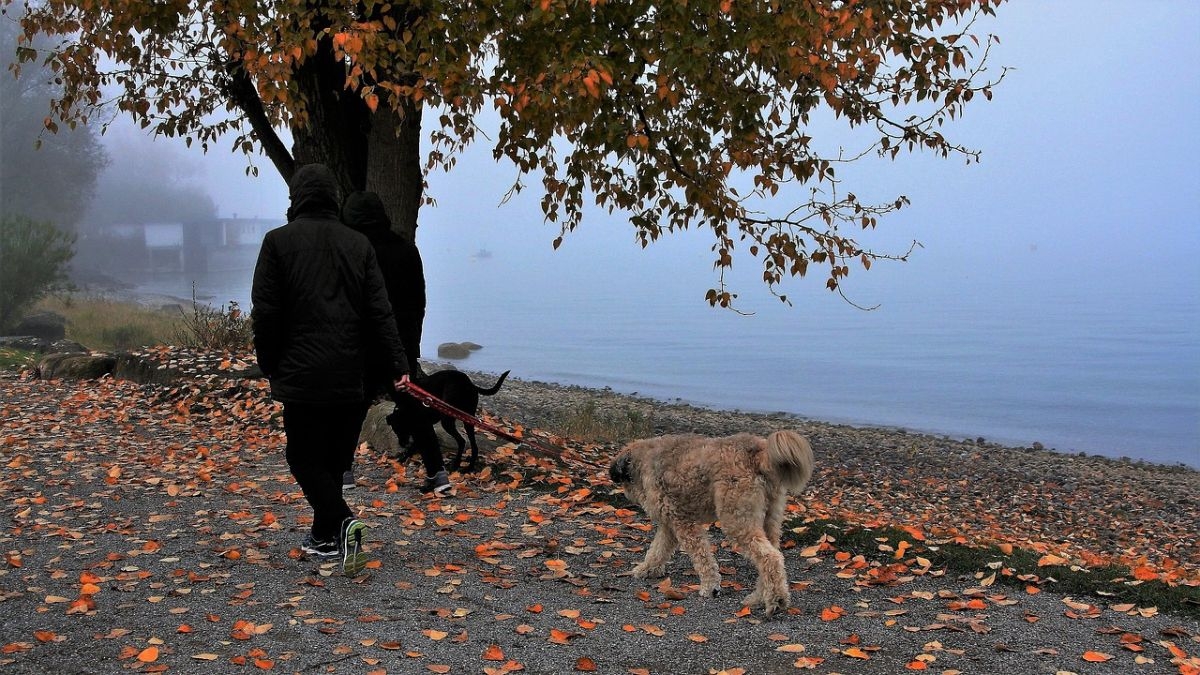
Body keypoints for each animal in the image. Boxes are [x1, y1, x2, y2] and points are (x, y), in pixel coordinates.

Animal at [609, 429, 816, 614]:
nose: (627, 496)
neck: (644, 459)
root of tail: (758, 452)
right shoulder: (669, 526)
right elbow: (657, 550)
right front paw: (647, 569)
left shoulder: (683, 522)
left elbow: (702, 558)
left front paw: (710, 587)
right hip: (769, 519)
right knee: (772, 558)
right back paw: (759, 598)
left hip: (737, 520)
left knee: (770, 557)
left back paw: (776, 600)